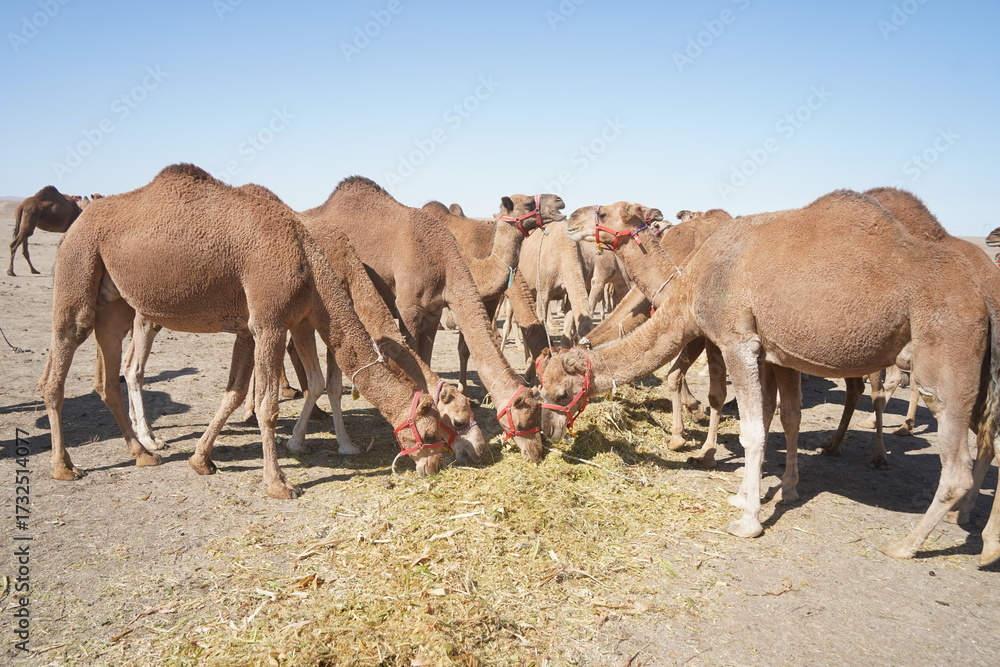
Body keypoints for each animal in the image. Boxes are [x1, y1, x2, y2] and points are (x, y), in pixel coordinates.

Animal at [40, 164, 447, 500]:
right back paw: (65, 466)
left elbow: (235, 392)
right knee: (60, 366)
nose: (434, 466)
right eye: (432, 433)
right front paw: (279, 484)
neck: (310, 261)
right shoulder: (270, 322)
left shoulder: (255, 326)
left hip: (114, 301)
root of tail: (80, 219)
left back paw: (142, 453)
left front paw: (200, 459)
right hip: (80, 265)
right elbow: (267, 405)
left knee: (110, 377)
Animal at [300, 177, 545, 461]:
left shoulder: (433, 312)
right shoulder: (408, 309)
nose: (537, 452)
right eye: (525, 420)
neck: (444, 259)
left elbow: (426, 358)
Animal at [537, 189, 1000, 564]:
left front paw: (746, 517)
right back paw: (976, 533)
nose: (548, 433)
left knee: (953, 464)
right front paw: (756, 491)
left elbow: (751, 428)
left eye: (555, 390)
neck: (688, 283)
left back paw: (906, 542)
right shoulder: (774, 352)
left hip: (948, 360)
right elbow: (782, 416)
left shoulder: (736, 340)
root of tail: (984, 291)